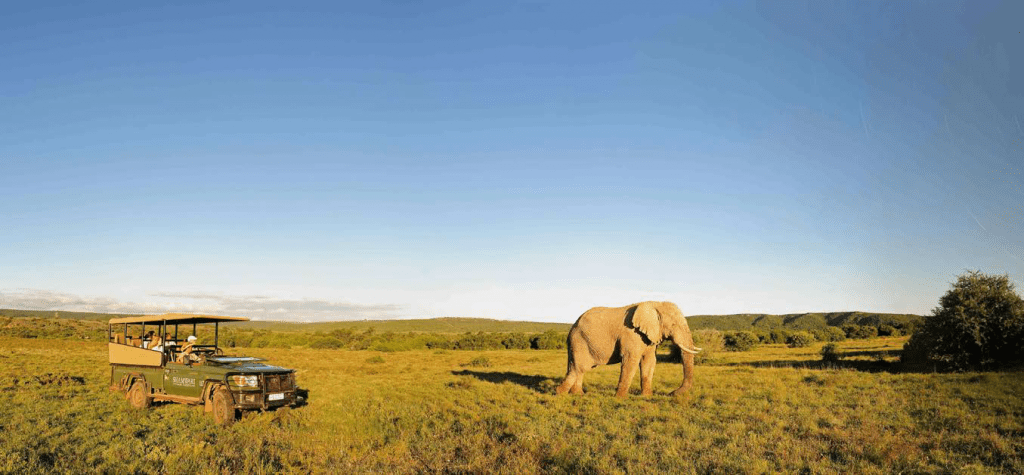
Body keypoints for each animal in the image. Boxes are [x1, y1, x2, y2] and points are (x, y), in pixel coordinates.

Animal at [557, 300, 700, 397]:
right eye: (674, 324)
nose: (671, 393)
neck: (654, 304)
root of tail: (574, 325)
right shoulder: (631, 334)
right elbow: (631, 360)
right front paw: (620, 398)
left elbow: (649, 361)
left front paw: (647, 397)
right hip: (579, 341)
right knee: (579, 367)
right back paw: (560, 393)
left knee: (577, 367)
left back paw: (578, 394)